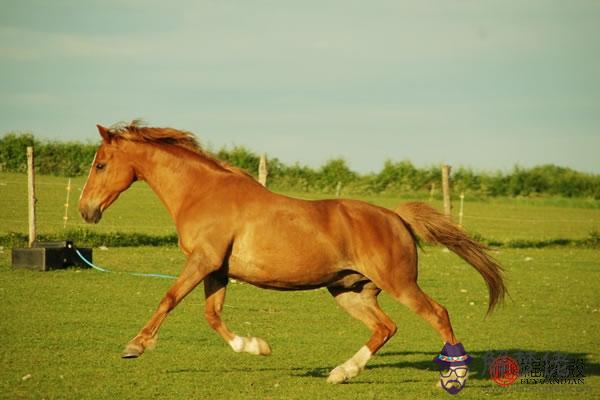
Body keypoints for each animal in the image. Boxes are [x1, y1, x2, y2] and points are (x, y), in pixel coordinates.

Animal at [77, 122, 504, 384]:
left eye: (100, 165)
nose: (86, 210)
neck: (202, 193)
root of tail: (395, 217)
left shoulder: (202, 261)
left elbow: (169, 299)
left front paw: (135, 346)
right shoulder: (216, 269)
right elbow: (212, 316)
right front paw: (256, 347)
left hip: (399, 283)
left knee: (438, 314)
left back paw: (455, 376)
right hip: (349, 290)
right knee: (386, 327)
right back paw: (341, 372)